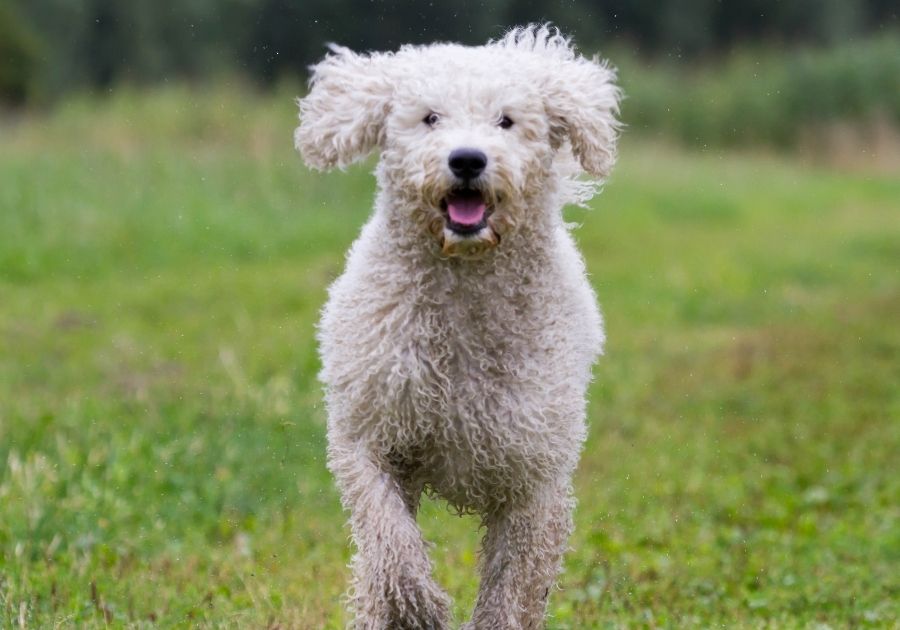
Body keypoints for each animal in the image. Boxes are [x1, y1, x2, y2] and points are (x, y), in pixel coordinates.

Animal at [296, 25, 620, 630]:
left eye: (507, 121)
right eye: (430, 118)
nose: (467, 159)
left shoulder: (533, 479)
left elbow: (512, 584)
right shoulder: (369, 437)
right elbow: (389, 540)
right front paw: (417, 606)